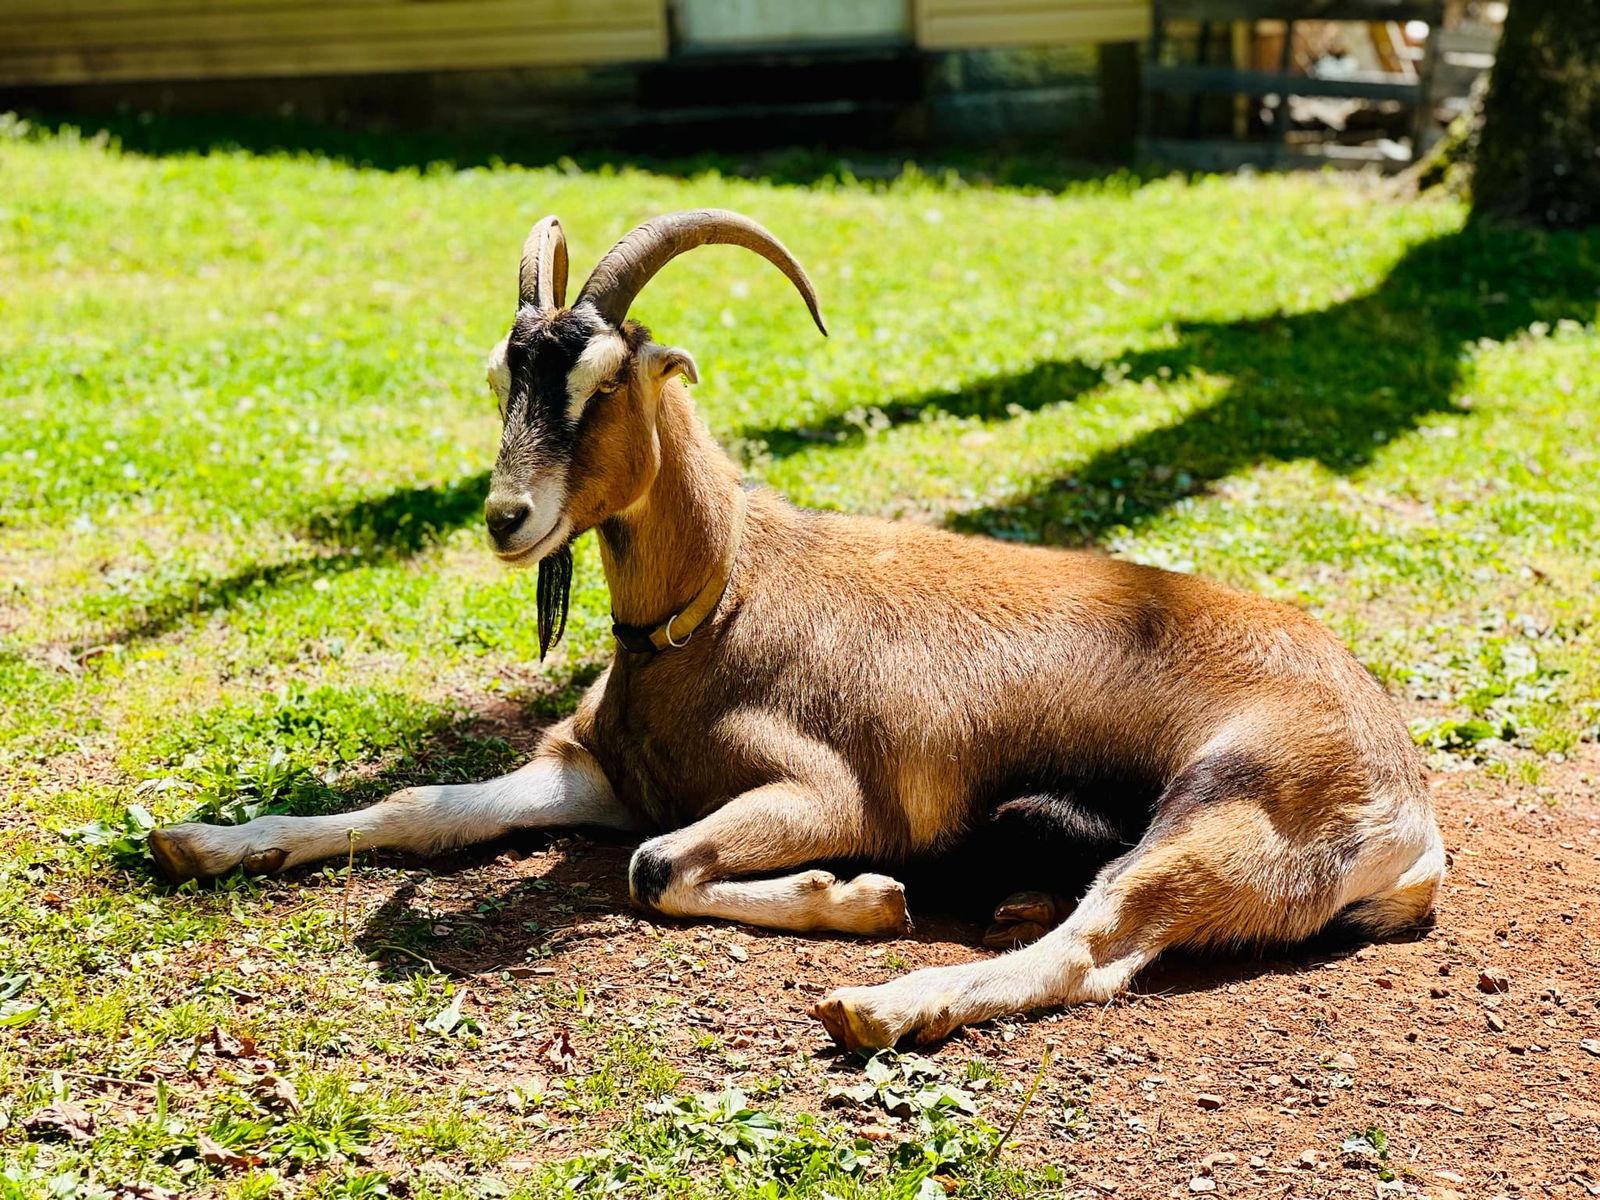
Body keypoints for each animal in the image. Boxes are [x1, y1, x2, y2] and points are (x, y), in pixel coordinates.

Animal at [149, 210, 1446, 1051]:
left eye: (607, 384)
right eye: (501, 377)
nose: (507, 518)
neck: (723, 601)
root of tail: (1405, 811)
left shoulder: (829, 791)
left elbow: (656, 865)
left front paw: (857, 899)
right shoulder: (592, 774)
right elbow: (417, 807)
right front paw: (205, 840)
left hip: (1215, 811)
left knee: (1094, 949)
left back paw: (881, 1005)